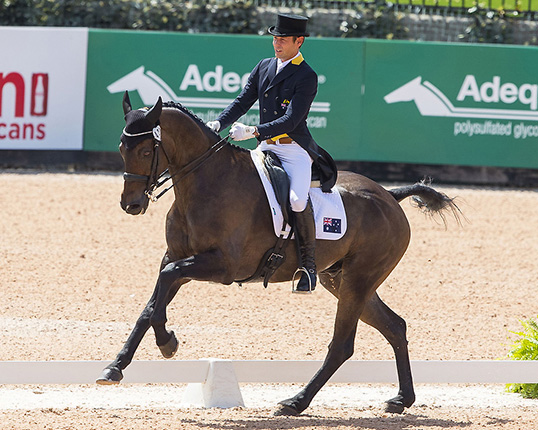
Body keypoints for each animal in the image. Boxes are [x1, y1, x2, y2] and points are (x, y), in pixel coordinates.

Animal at [96, 92, 456, 414]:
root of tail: (390, 196)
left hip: (358, 281)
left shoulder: (220, 267)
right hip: (341, 280)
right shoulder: (175, 258)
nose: (131, 205)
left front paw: (167, 343)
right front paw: (115, 367)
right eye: (121, 148)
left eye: (146, 149)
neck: (206, 183)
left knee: (342, 346)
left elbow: (164, 286)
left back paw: (296, 402)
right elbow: (151, 305)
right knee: (395, 326)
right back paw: (401, 399)